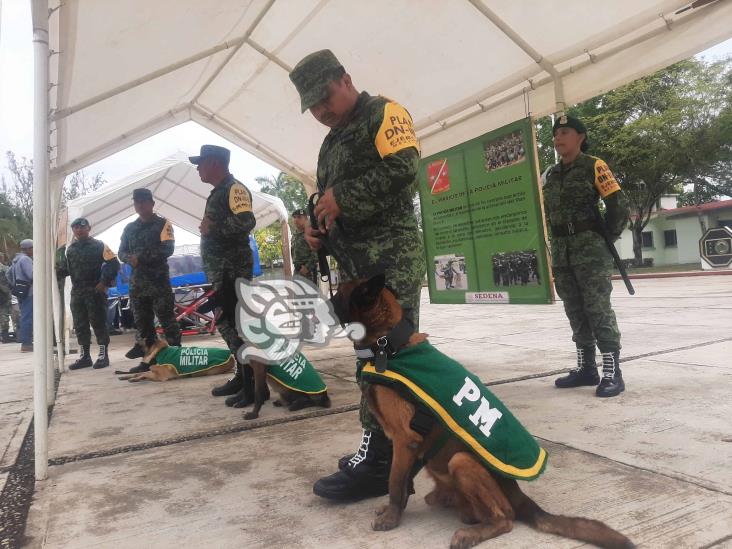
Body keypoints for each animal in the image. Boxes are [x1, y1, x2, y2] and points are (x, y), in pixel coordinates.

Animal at [334, 276, 636, 548]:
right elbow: (402, 481)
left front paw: (392, 517)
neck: (389, 346)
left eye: (338, 295)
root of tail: (518, 496)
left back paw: (473, 533)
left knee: (506, 518)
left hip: (461, 462)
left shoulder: (404, 440)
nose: (325, 298)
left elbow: (396, 483)